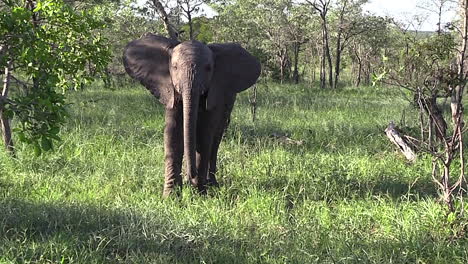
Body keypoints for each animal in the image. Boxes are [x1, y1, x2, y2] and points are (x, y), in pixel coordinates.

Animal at [122, 34, 262, 196]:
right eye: (175, 67)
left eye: (209, 68)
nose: (190, 177)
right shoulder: (170, 90)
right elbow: (173, 134)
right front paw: (171, 196)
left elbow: (204, 135)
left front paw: (200, 192)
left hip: (228, 103)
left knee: (215, 140)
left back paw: (212, 184)